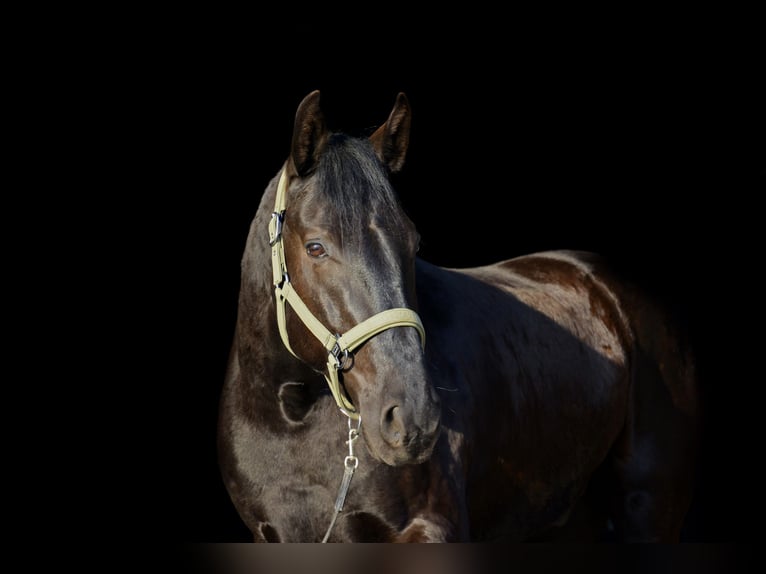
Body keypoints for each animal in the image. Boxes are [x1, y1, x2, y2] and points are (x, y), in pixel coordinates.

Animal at [217, 90, 700, 542]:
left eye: (413, 242)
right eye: (316, 247)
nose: (413, 417)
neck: (292, 420)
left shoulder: (430, 528)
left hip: (648, 511)